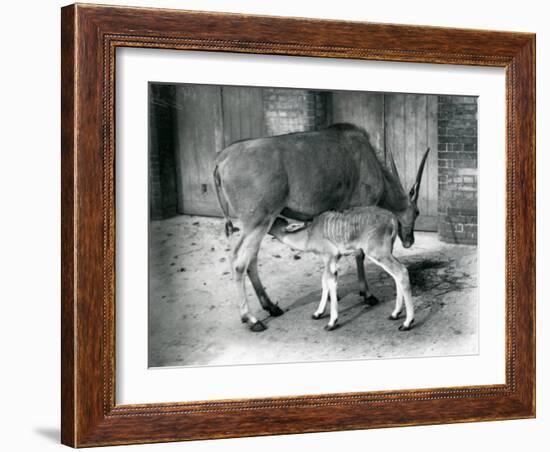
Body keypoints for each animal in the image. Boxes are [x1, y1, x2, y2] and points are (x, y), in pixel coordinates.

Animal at [213, 123, 430, 332]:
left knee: (251, 260)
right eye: (417, 212)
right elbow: (359, 255)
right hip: (257, 223)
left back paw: (271, 307)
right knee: (239, 262)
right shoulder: (359, 209)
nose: (409, 241)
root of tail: (222, 159)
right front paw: (366, 295)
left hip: (259, 225)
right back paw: (252, 319)